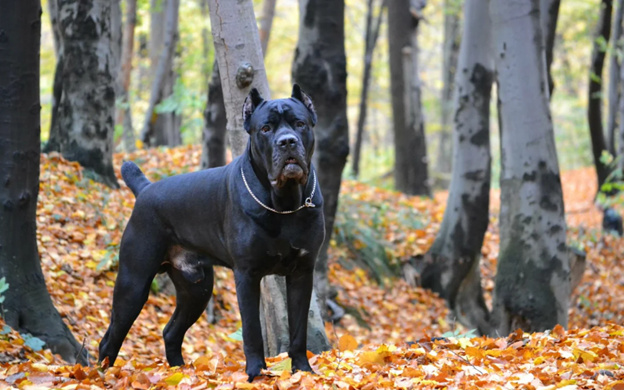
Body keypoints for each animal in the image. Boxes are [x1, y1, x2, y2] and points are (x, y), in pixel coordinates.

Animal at [97, 84, 326, 380]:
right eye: (266, 128)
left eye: (299, 124)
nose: (287, 142)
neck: (285, 203)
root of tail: (146, 188)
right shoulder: (247, 274)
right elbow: (252, 330)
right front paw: (255, 374)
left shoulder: (302, 272)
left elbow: (299, 329)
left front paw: (303, 371)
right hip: (133, 282)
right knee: (110, 337)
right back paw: (100, 375)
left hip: (197, 289)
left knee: (171, 331)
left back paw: (180, 373)